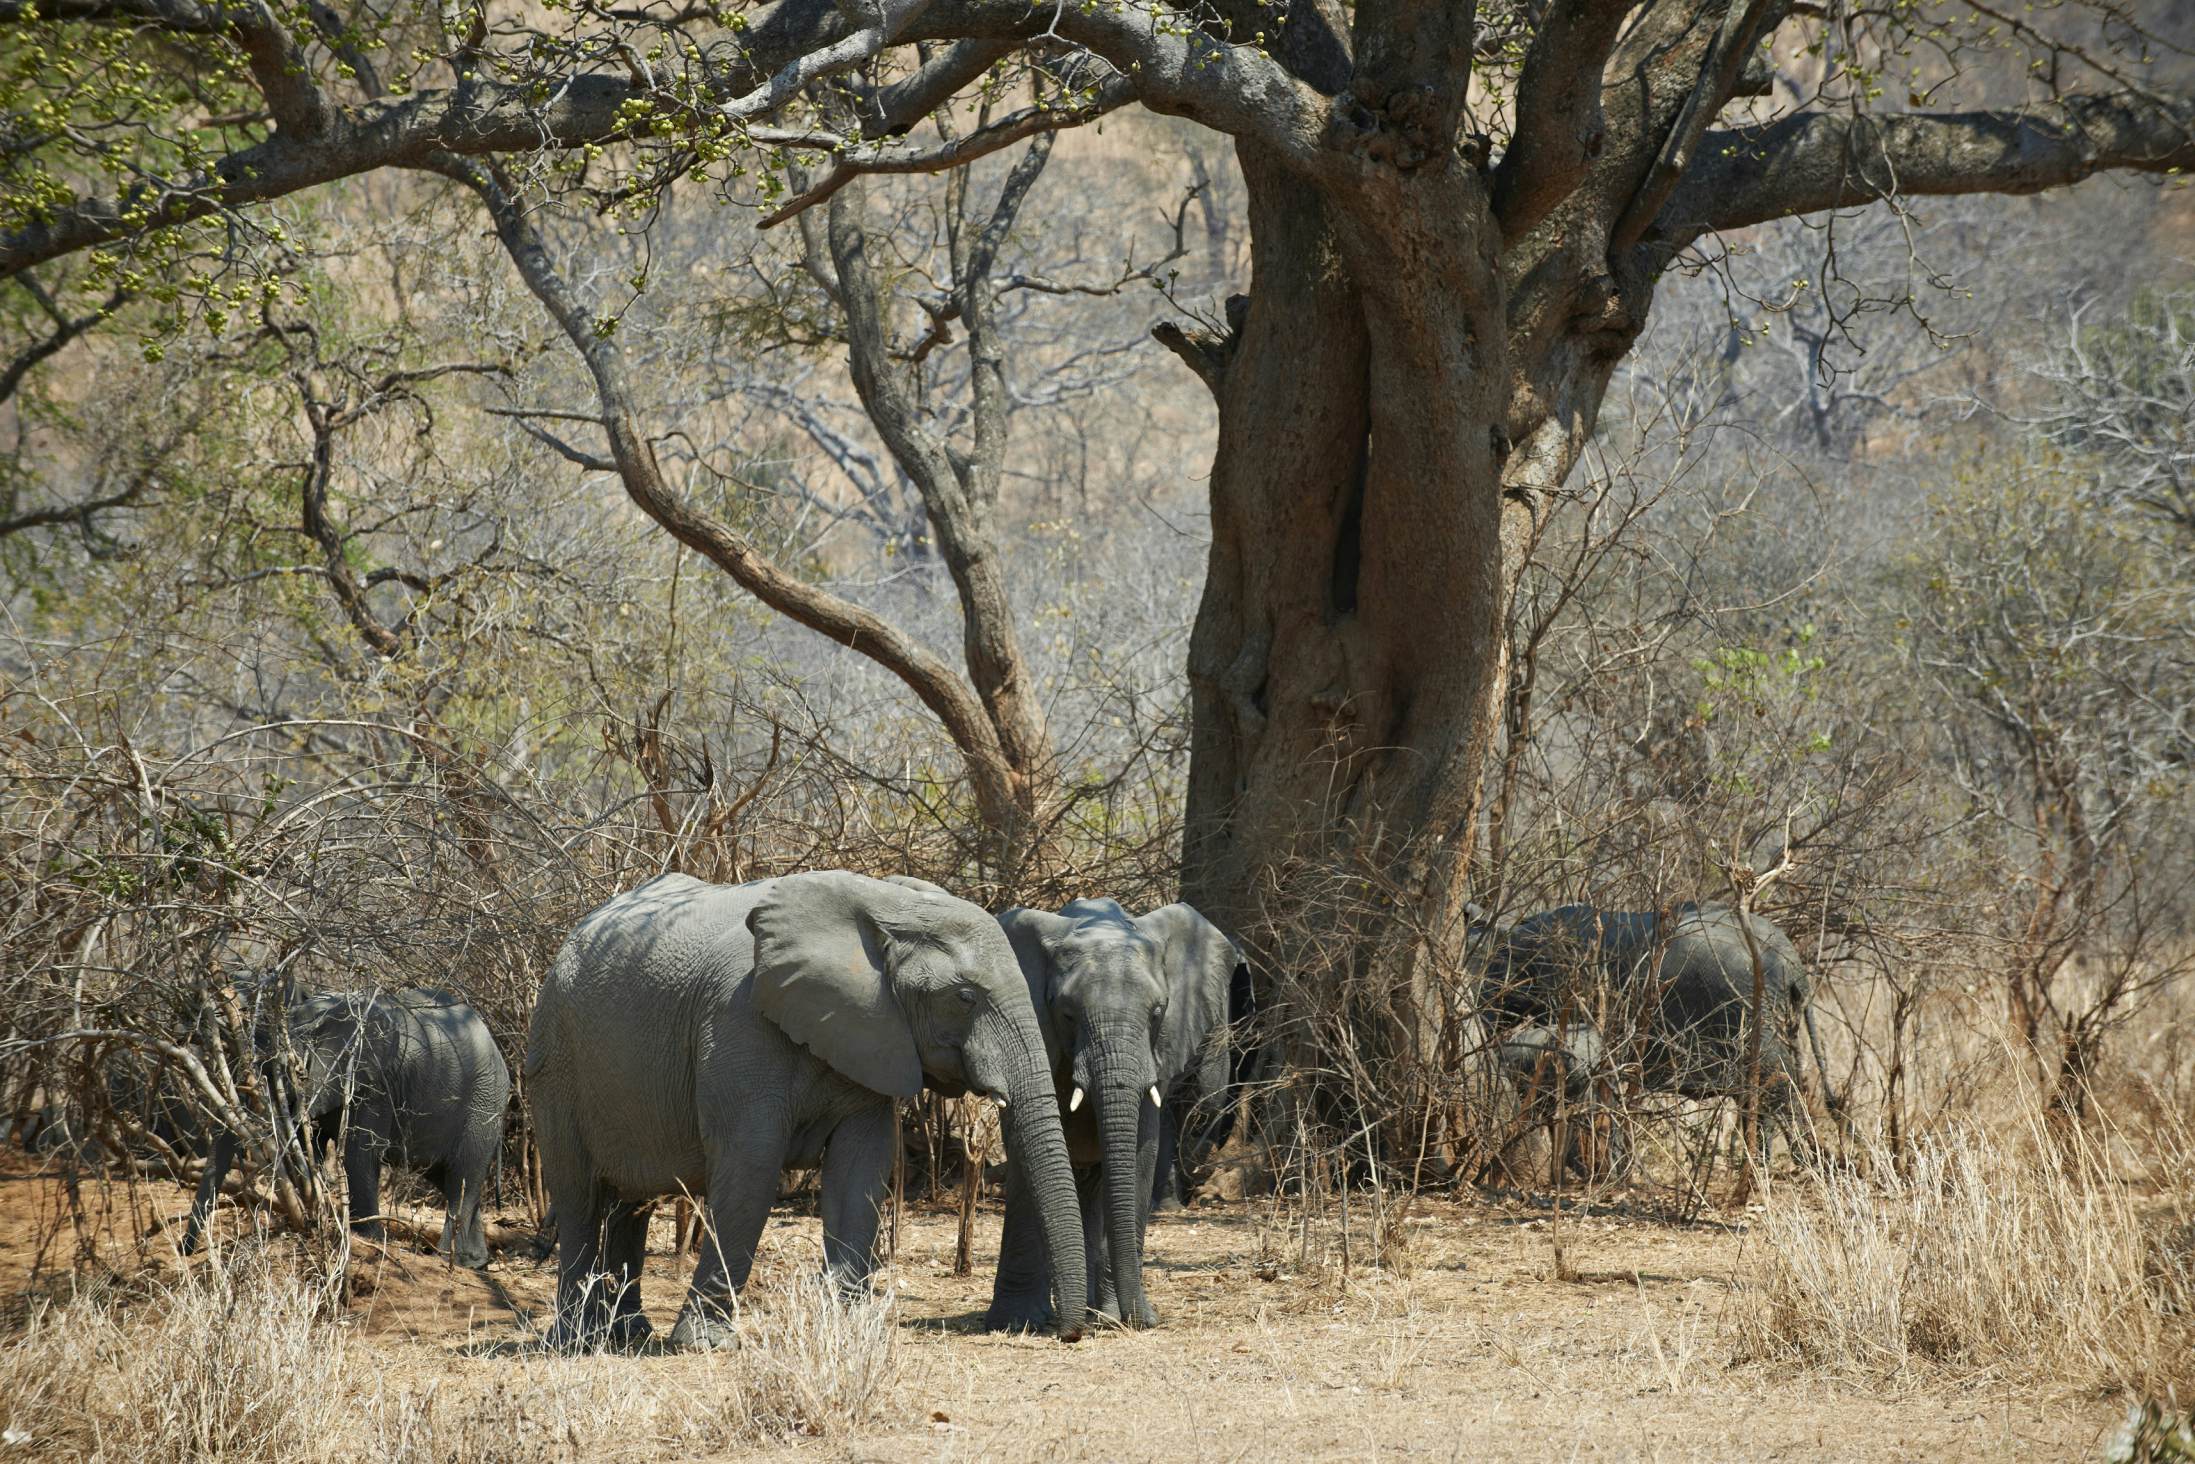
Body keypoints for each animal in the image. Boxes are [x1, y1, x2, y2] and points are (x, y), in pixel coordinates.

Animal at [182, 987, 511, 1267]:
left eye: (268, 1073)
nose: (185, 1251)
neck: (314, 1019)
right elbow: (309, 1144)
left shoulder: (372, 1081)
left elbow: (359, 1154)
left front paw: (367, 1241)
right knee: (450, 1177)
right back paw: (474, 1263)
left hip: (484, 1105)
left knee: (463, 1175)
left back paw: (449, 1259)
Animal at [526, 870, 1088, 1350]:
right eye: (965, 997)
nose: (1068, 1334)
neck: (886, 906)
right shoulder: (737, 1024)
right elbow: (750, 1168)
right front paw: (704, 1344)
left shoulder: (872, 1036)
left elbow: (861, 1166)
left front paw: (847, 1329)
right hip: (555, 1058)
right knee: (579, 1195)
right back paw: (576, 1342)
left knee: (631, 1204)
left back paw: (627, 1335)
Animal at [985, 898, 1246, 1332]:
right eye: (1068, 1014)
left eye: (1157, 1013)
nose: (1147, 1319)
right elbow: (1027, 1153)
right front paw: (1017, 1323)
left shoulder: (1158, 1053)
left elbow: (1139, 1158)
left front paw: (1122, 1319)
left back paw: (1098, 1313)